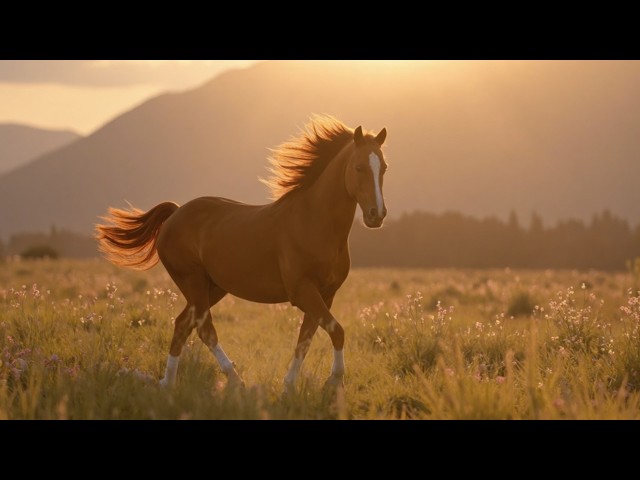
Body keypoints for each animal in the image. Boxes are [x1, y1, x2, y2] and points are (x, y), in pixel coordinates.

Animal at [95, 115, 388, 392]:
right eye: (359, 167)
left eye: (383, 167)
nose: (377, 215)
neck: (314, 223)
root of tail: (175, 213)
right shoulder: (303, 291)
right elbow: (336, 331)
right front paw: (334, 381)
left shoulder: (326, 294)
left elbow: (306, 339)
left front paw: (289, 386)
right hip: (193, 280)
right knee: (204, 328)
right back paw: (236, 381)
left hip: (213, 287)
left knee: (182, 325)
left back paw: (167, 384)